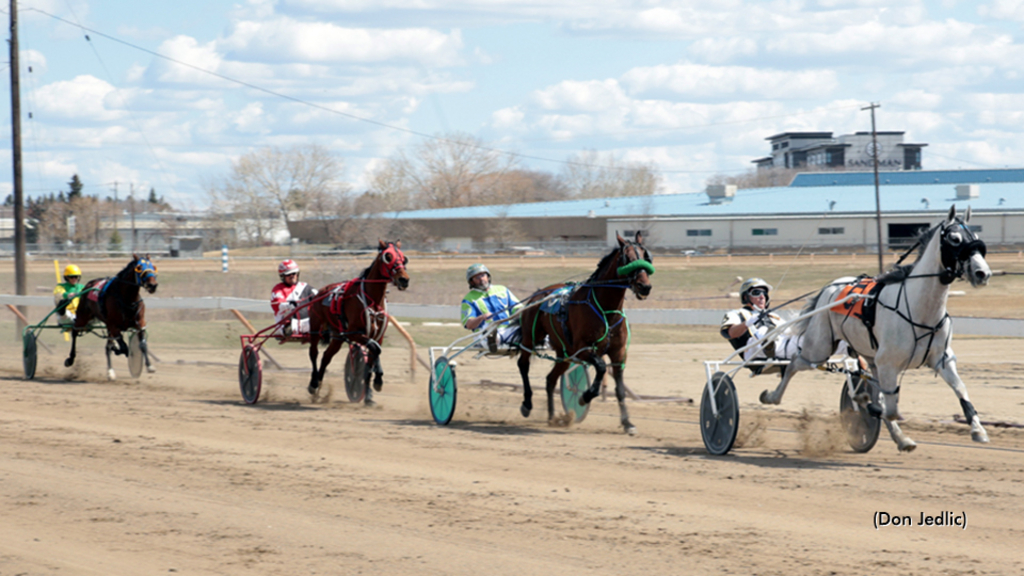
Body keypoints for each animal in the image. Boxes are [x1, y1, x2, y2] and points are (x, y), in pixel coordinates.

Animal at [305, 237, 409, 403]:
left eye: (403, 257)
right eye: (388, 256)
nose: (404, 279)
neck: (372, 300)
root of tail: (320, 291)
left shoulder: (377, 336)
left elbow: (374, 354)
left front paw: (369, 395)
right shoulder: (354, 333)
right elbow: (374, 349)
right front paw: (378, 380)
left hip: (338, 336)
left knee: (326, 356)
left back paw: (319, 383)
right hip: (316, 327)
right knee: (314, 352)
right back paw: (314, 383)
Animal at [516, 230, 651, 432]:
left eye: (644, 256)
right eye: (628, 258)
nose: (645, 286)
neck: (606, 310)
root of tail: (538, 294)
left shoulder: (618, 353)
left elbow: (619, 388)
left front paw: (627, 422)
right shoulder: (583, 349)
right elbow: (601, 367)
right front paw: (584, 396)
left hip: (564, 353)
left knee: (550, 379)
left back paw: (551, 416)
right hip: (530, 338)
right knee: (523, 364)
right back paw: (527, 404)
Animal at [761, 203, 991, 450]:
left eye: (976, 237)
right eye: (954, 239)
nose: (983, 273)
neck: (920, 310)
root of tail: (830, 287)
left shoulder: (941, 358)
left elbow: (960, 388)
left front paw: (978, 430)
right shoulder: (888, 363)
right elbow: (889, 408)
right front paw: (869, 405)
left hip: (867, 356)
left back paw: (899, 437)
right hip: (819, 347)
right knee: (794, 363)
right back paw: (771, 396)